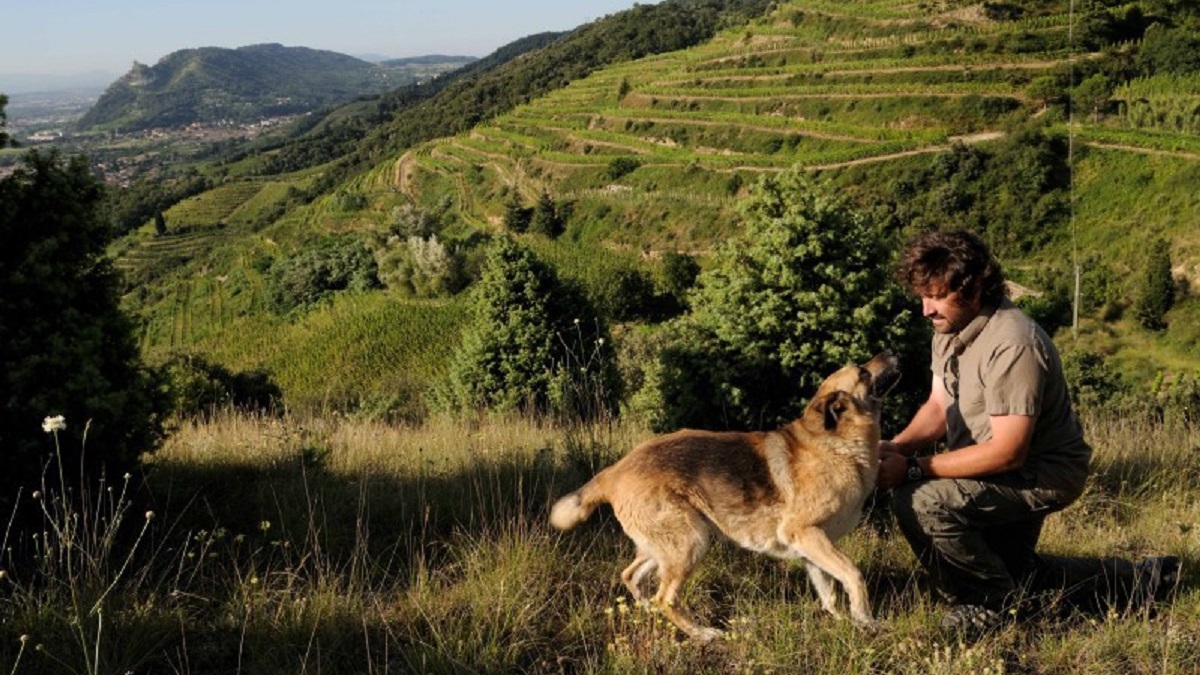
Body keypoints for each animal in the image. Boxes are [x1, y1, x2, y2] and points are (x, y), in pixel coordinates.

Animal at [549, 348, 897, 638]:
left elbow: (830, 593)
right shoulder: (807, 534)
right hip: (691, 541)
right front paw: (867, 621)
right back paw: (702, 634)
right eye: (862, 372)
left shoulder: (812, 546)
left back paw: (649, 613)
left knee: (632, 576)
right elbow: (853, 576)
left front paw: (845, 623)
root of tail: (616, 469)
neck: (837, 443)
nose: (892, 351)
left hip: (664, 545)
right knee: (666, 597)